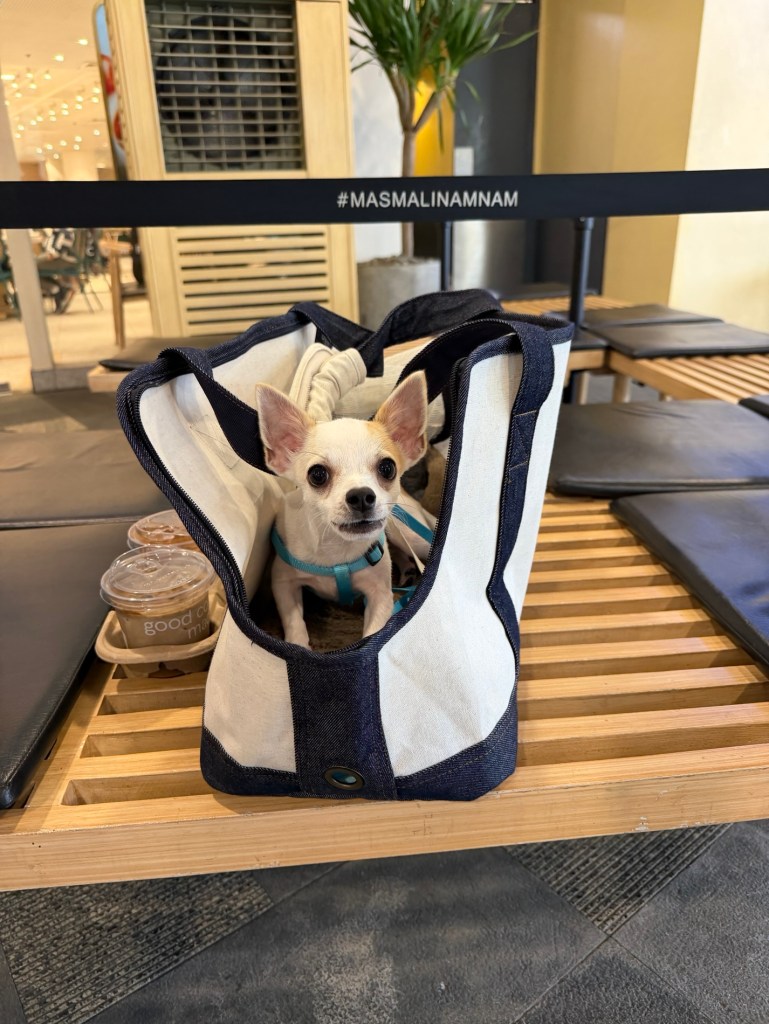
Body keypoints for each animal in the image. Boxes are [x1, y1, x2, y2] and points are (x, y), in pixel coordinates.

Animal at [255, 370, 429, 648]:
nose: (361, 496)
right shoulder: (283, 582)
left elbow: (372, 635)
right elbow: (294, 622)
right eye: (317, 475)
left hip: (407, 532)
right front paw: (299, 645)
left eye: (387, 468)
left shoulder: (381, 597)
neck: (337, 552)